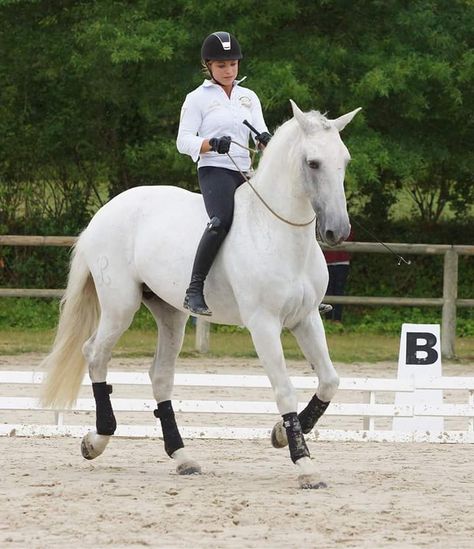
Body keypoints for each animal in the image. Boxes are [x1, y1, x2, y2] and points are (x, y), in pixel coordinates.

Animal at [41, 101, 360, 488]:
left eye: (344, 161)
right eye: (313, 163)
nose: (337, 231)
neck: (276, 231)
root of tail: (105, 211)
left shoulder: (306, 318)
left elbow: (329, 381)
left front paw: (279, 435)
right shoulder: (264, 324)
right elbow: (284, 388)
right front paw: (305, 464)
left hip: (170, 313)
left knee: (160, 377)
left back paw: (182, 457)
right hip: (120, 307)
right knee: (95, 355)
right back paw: (96, 440)